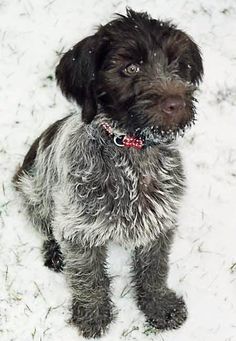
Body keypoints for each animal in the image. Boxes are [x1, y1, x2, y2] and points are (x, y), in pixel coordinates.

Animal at [13, 7, 204, 338]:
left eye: (177, 64)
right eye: (130, 68)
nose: (175, 103)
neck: (132, 151)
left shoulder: (158, 222)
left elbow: (155, 268)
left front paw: (159, 306)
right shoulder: (79, 230)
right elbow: (88, 277)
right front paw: (92, 314)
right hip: (33, 194)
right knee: (47, 226)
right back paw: (54, 252)